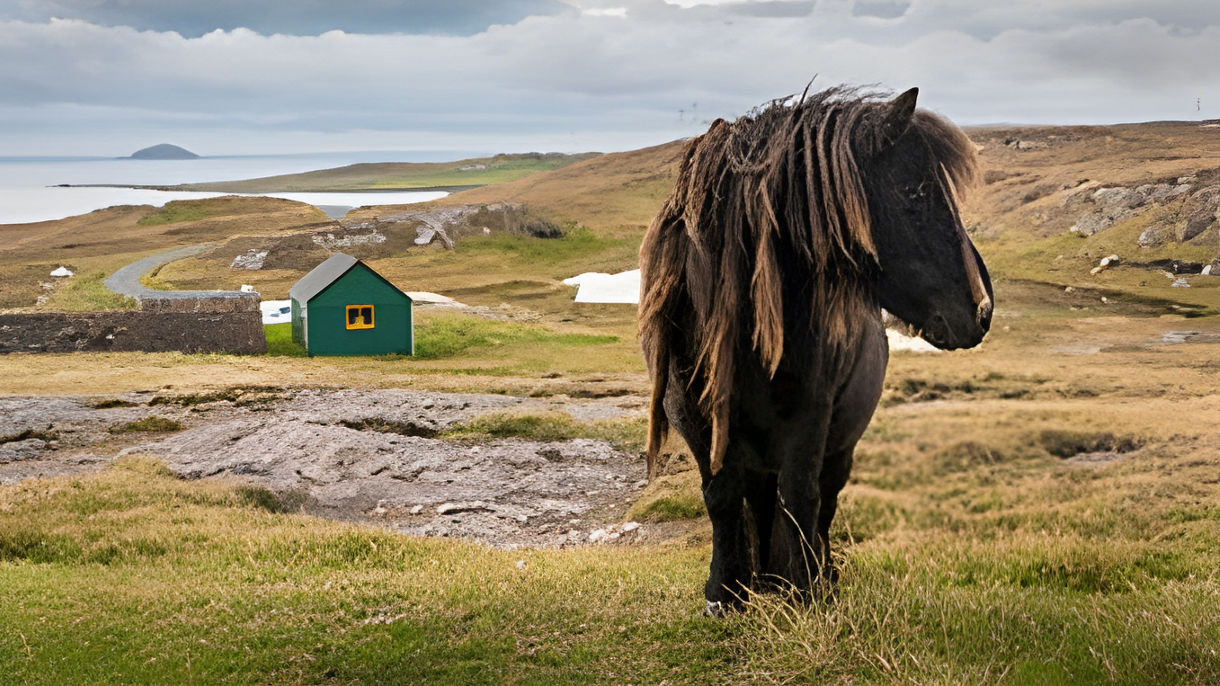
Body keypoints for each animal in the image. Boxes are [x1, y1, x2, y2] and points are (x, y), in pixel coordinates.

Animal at [638, 86, 992, 614]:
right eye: (916, 192)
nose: (983, 309)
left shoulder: (811, 413)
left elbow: (801, 497)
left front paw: (806, 591)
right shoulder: (695, 415)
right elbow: (721, 495)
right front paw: (725, 592)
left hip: (839, 444)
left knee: (822, 502)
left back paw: (815, 573)